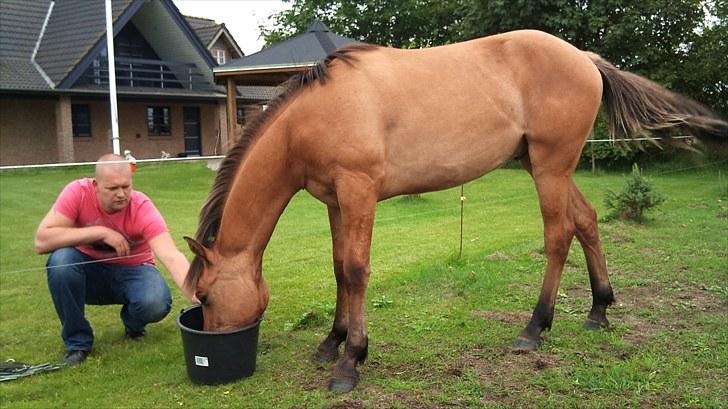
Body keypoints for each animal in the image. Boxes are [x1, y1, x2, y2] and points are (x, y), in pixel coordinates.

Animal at [183, 30, 728, 390]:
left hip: (551, 168)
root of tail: (585, 58)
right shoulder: (336, 201)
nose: (211, 342)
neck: (311, 117)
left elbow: (357, 271)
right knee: (588, 221)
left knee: (558, 236)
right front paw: (331, 343)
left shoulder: (358, 191)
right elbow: (339, 269)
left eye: (205, 295)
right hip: (544, 166)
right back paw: (598, 310)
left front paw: (350, 361)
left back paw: (535, 328)